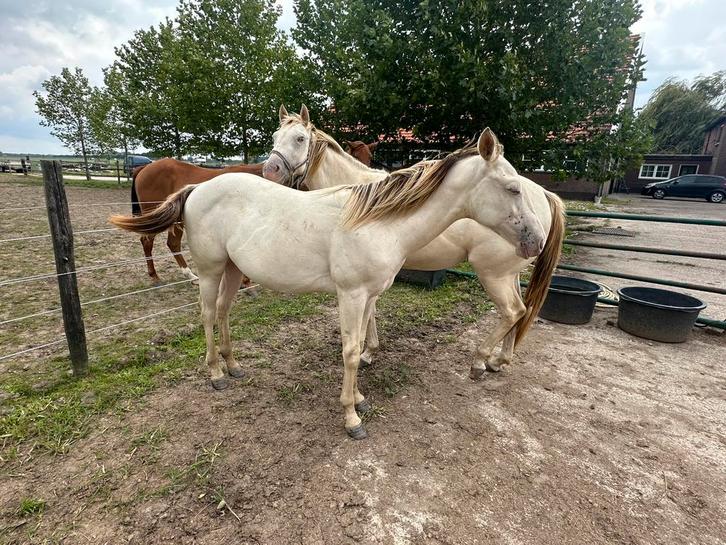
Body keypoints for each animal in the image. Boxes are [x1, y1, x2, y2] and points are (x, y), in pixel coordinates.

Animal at [264, 105, 565, 378]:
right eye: (275, 136)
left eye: (300, 139)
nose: (270, 170)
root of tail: (545, 195)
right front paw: (369, 351)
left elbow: (369, 312)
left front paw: (367, 352)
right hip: (508, 273)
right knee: (522, 310)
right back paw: (500, 360)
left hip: (493, 274)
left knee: (512, 311)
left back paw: (480, 360)